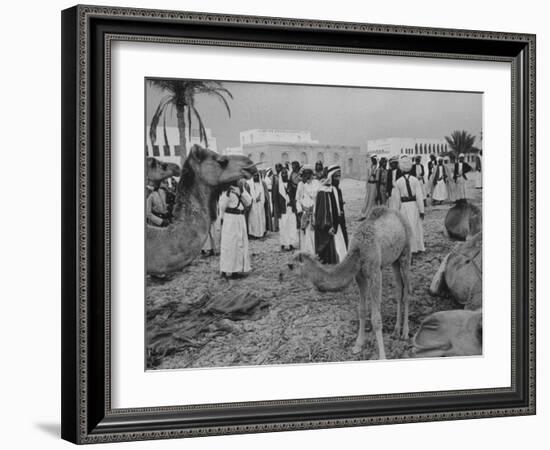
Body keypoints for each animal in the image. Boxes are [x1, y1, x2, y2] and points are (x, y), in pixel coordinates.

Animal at [292, 207, 412, 358]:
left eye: (291, 265)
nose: (301, 227)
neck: (358, 250)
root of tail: (400, 215)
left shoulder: (375, 273)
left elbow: (376, 319)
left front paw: (382, 356)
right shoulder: (359, 276)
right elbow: (361, 310)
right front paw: (358, 345)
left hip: (406, 252)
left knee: (406, 291)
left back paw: (405, 332)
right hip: (394, 259)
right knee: (399, 288)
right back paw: (396, 331)